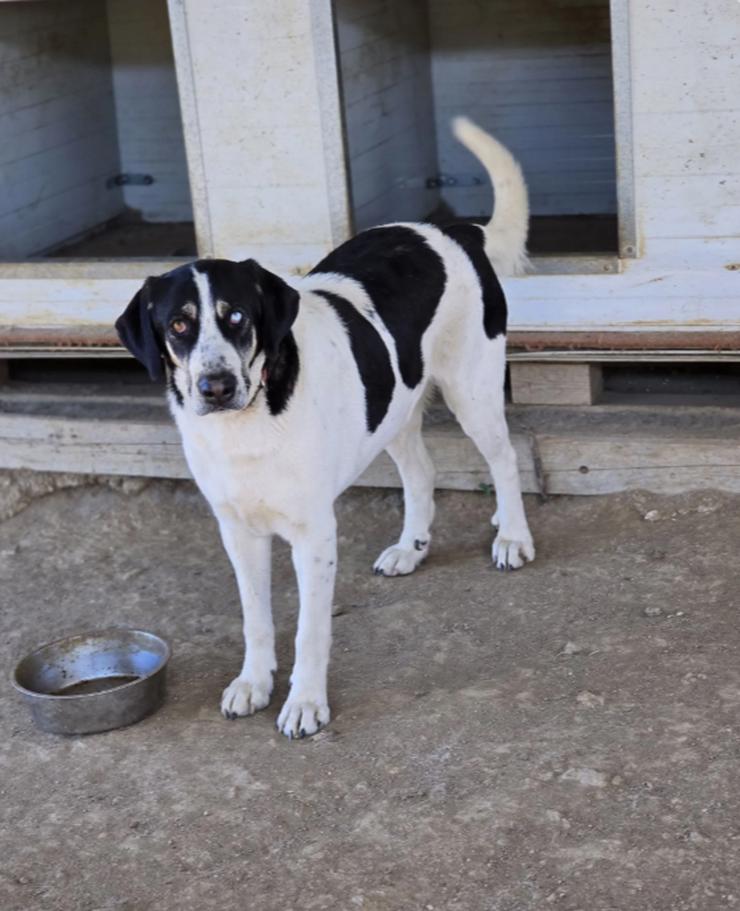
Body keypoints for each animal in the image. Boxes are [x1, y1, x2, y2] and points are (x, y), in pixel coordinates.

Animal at [114, 117, 532, 736]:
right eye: (179, 325)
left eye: (236, 316)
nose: (215, 387)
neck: (249, 425)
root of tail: (455, 232)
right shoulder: (238, 532)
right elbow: (256, 618)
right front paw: (253, 682)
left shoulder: (314, 535)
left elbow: (311, 630)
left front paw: (306, 701)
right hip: (394, 405)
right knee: (422, 472)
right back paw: (412, 546)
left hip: (472, 390)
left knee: (503, 459)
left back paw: (513, 535)